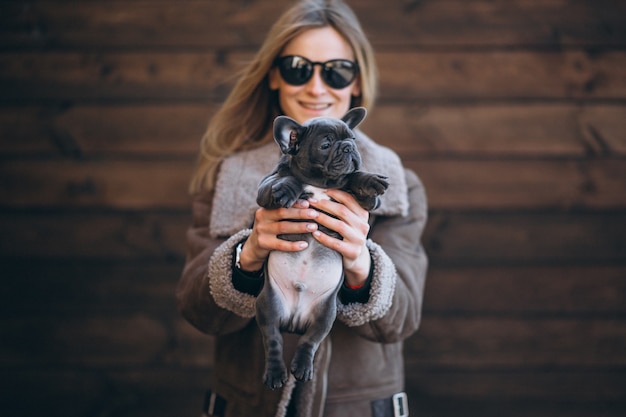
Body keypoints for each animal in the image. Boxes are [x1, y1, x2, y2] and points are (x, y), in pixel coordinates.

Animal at [254, 106, 386, 386]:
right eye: (325, 145)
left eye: (353, 139)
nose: (347, 147)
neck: (320, 183)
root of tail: (294, 319)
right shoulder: (265, 187)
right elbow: (282, 181)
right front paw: (288, 188)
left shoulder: (368, 204)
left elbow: (356, 179)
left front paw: (370, 179)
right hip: (267, 306)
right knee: (273, 339)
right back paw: (276, 373)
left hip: (326, 315)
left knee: (310, 340)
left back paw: (303, 367)